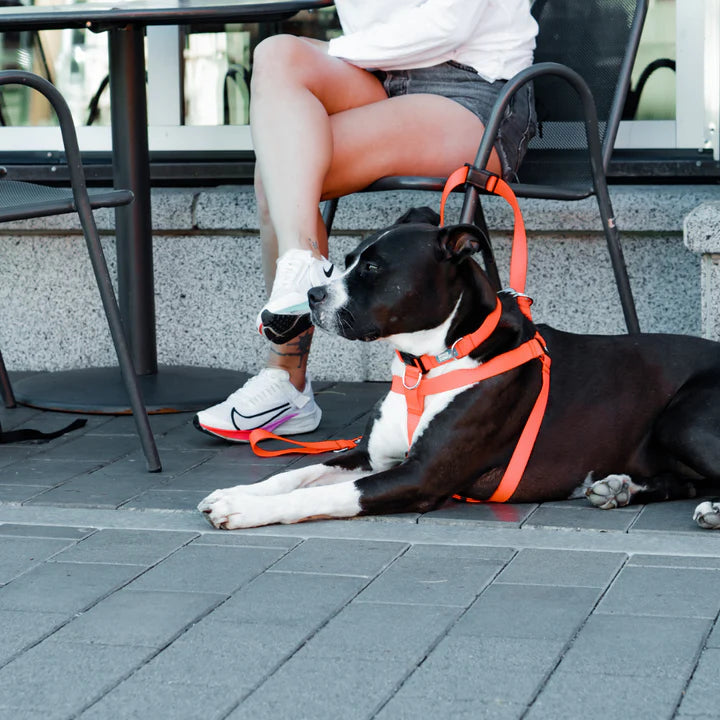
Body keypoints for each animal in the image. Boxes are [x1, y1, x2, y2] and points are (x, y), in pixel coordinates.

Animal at [200, 211, 720, 524]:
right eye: (342, 263)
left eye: (372, 269)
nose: (312, 295)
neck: (426, 364)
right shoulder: (371, 456)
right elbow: (298, 474)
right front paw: (239, 492)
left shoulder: (420, 477)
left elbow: (320, 494)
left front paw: (243, 510)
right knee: (684, 480)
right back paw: (618, 486)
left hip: (683, 417)